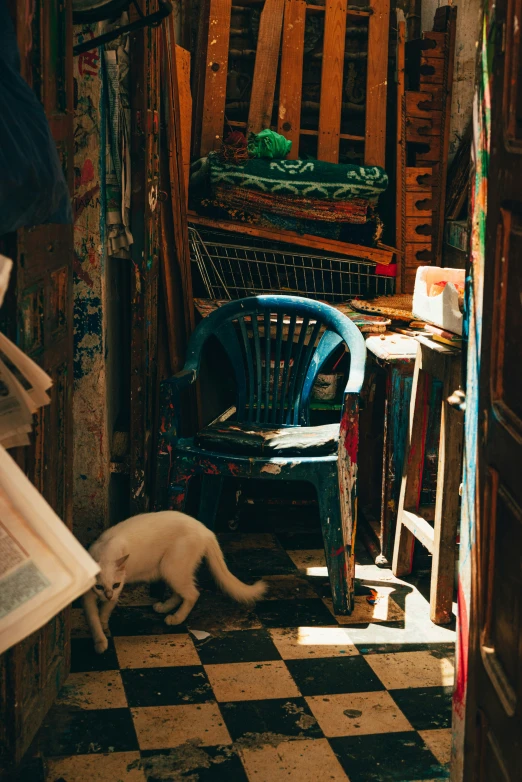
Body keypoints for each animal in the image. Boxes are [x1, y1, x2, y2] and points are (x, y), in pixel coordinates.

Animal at [83, 516, 266, 656]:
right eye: (99, 587)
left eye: (115, 585)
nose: (107, 595)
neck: (105, 554)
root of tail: (206, 530)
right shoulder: (88, 595)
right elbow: (94, 617)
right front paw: (101, 636)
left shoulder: (118, 591)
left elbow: (103, 612)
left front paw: (101, 638)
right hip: (170, 570)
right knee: (180, 593)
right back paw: (164, 607)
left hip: (171, 567)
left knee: (192, 594)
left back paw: (176, 618)